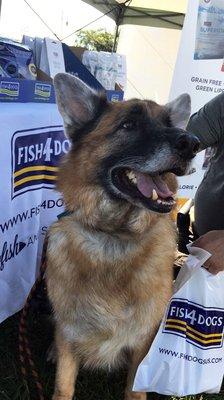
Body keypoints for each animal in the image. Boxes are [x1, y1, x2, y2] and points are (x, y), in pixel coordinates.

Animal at [46, 72, 198, 400]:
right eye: (129, 125)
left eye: (171, 124)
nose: (192, 142)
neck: (114, 236)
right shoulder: (70, 335)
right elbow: (63, 386)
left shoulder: (141, 342)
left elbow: (135, 390)